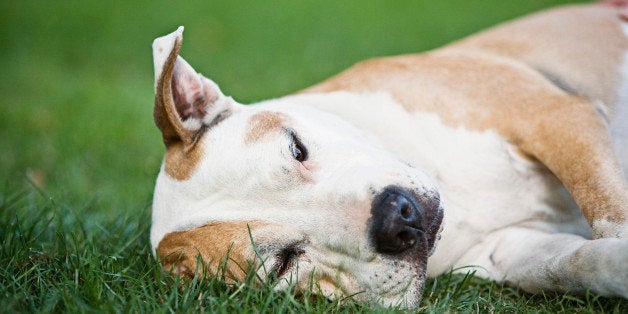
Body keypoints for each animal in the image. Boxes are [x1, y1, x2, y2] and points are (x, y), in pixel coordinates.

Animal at [151, 1, 628, 308]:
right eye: (283, 263)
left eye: (297, 147)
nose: (399, 219)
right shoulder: (513, 249)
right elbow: (585, 262)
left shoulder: (552, 117)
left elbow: (610, 213)